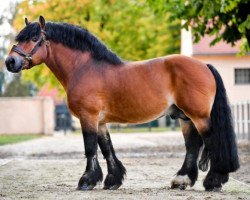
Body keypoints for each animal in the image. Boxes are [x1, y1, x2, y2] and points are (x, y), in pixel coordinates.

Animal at [4, 15, 239, 191]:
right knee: (192, 146)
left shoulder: (88, 117)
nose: (10, 62)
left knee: (212, 142)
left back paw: (214, 181)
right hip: (185, 117)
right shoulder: (100, 121)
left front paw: (87, 181)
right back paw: (181, 180)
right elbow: (106, 148)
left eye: (35, 38)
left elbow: (90, 148)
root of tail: (204, 65)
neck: (85, 68)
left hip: (199, 116)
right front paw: (112, 180)